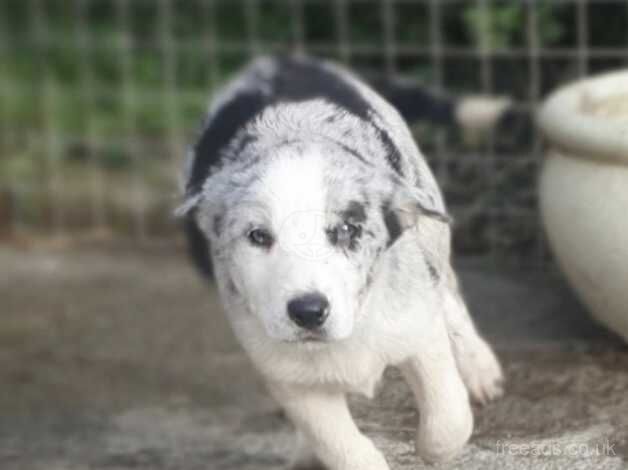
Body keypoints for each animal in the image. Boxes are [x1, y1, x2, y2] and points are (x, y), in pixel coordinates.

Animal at [179, 56, 502, 470]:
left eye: (347, 230)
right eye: (258, 236)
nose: (308, 311)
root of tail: (284, 59)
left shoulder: (418, 328)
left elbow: (448, 419)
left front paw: (435, 447)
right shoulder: (286, 373)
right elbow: (340, 445)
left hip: (430, 225)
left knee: (450, 295)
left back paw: (481, 369)